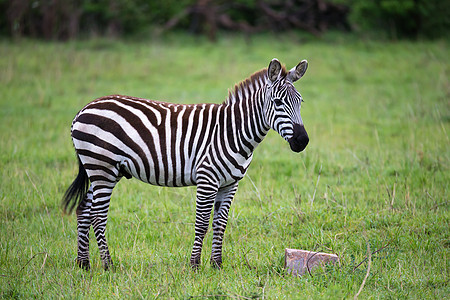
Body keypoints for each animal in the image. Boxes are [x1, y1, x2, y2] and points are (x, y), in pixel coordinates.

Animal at [62, 58, 310, 270]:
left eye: (300, 102)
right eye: (278, 102)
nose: (302, 141)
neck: (233, 131)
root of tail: (83, 109)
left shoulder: (230, 184)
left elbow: (220, 224)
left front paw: (217, 265)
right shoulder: (207, 179)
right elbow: (202, 223)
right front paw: (194, 266)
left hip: (101, 171)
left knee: (83, 209)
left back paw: (83, 264)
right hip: (102, 168)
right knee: (97, 216)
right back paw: (108, 265)